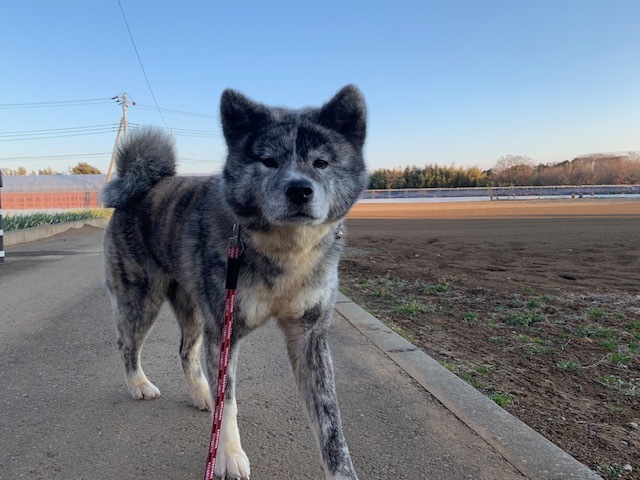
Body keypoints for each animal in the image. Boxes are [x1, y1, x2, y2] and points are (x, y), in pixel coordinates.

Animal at [102, 84, 368, 478]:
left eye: (321, 163)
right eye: (269, 161)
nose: (299, 190)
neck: (284, 251)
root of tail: (142, 185)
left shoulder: (309, 336)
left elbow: (330, 422)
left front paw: (342, 471)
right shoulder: (224, 330)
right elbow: (228, 400)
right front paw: (227, 455)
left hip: (193, 306)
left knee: (186, 351)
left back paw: (201, 394)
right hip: (143, 297)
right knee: (127, 343)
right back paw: (140, 384)